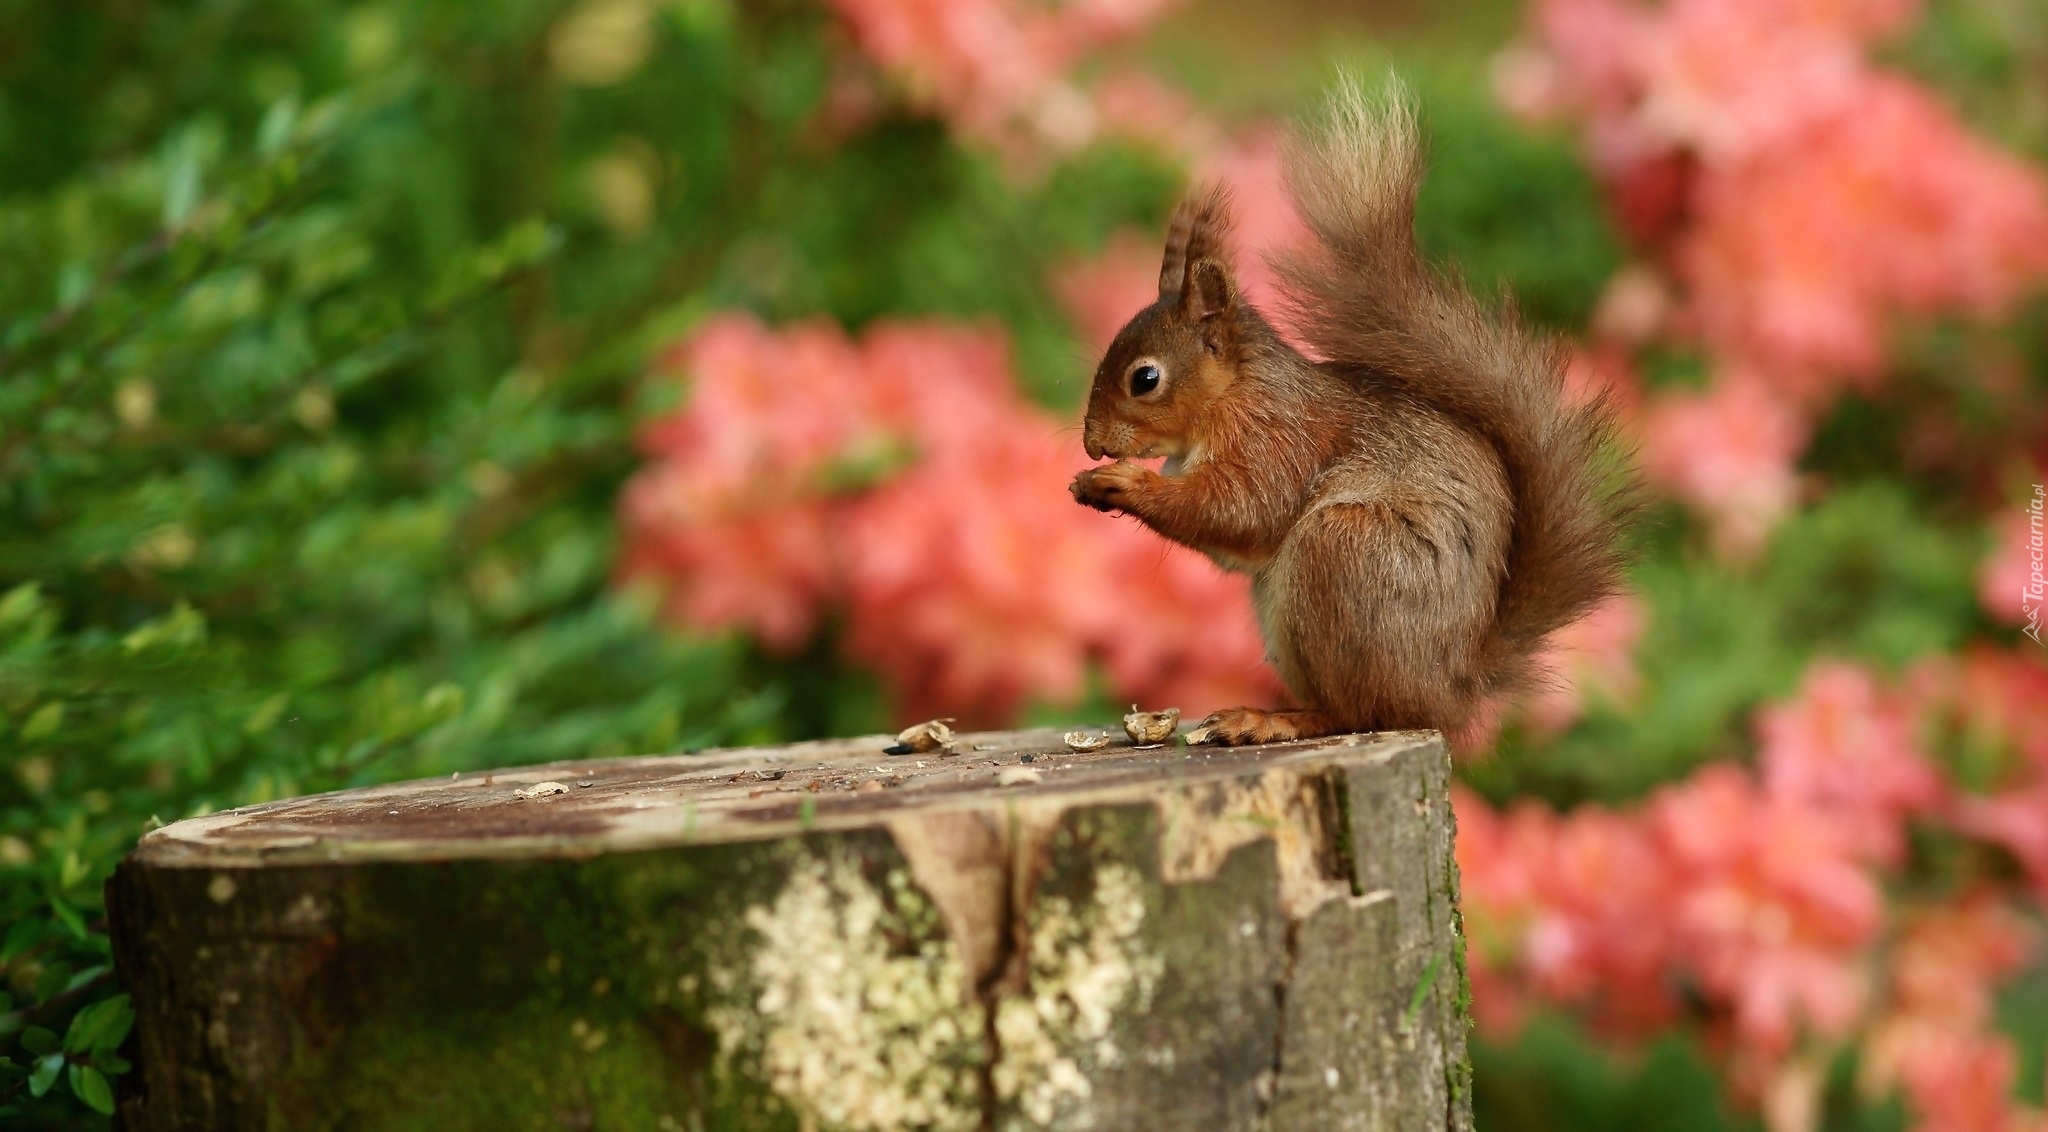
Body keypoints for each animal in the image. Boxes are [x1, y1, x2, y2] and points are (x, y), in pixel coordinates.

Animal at [1073, 81, 1630, 749]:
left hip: (1344, 553)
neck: (1234, 394)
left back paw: (1269, 719)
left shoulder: (1278, 438)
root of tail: (1450, 690)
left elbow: (1242, 510)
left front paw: (1123, 483)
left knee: (1363, 713)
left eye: (1145, 379)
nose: (1091, 444)